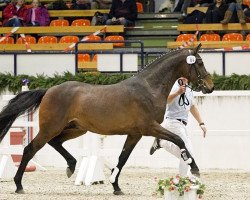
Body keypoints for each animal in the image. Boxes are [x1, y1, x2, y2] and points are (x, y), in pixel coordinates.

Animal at [0, 43, 214, 194]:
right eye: (200, 63)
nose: (210, 87)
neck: (149, 88)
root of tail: (48, 90)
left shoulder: (135, 134)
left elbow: (123, 158)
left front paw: (116, 186)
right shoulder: (149, 127)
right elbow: (179, 140)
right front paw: (194, 167)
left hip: (76, 129)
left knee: (55, 142)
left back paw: (71, 166)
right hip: (51, 128)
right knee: (30, 149)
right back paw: (18, 185)